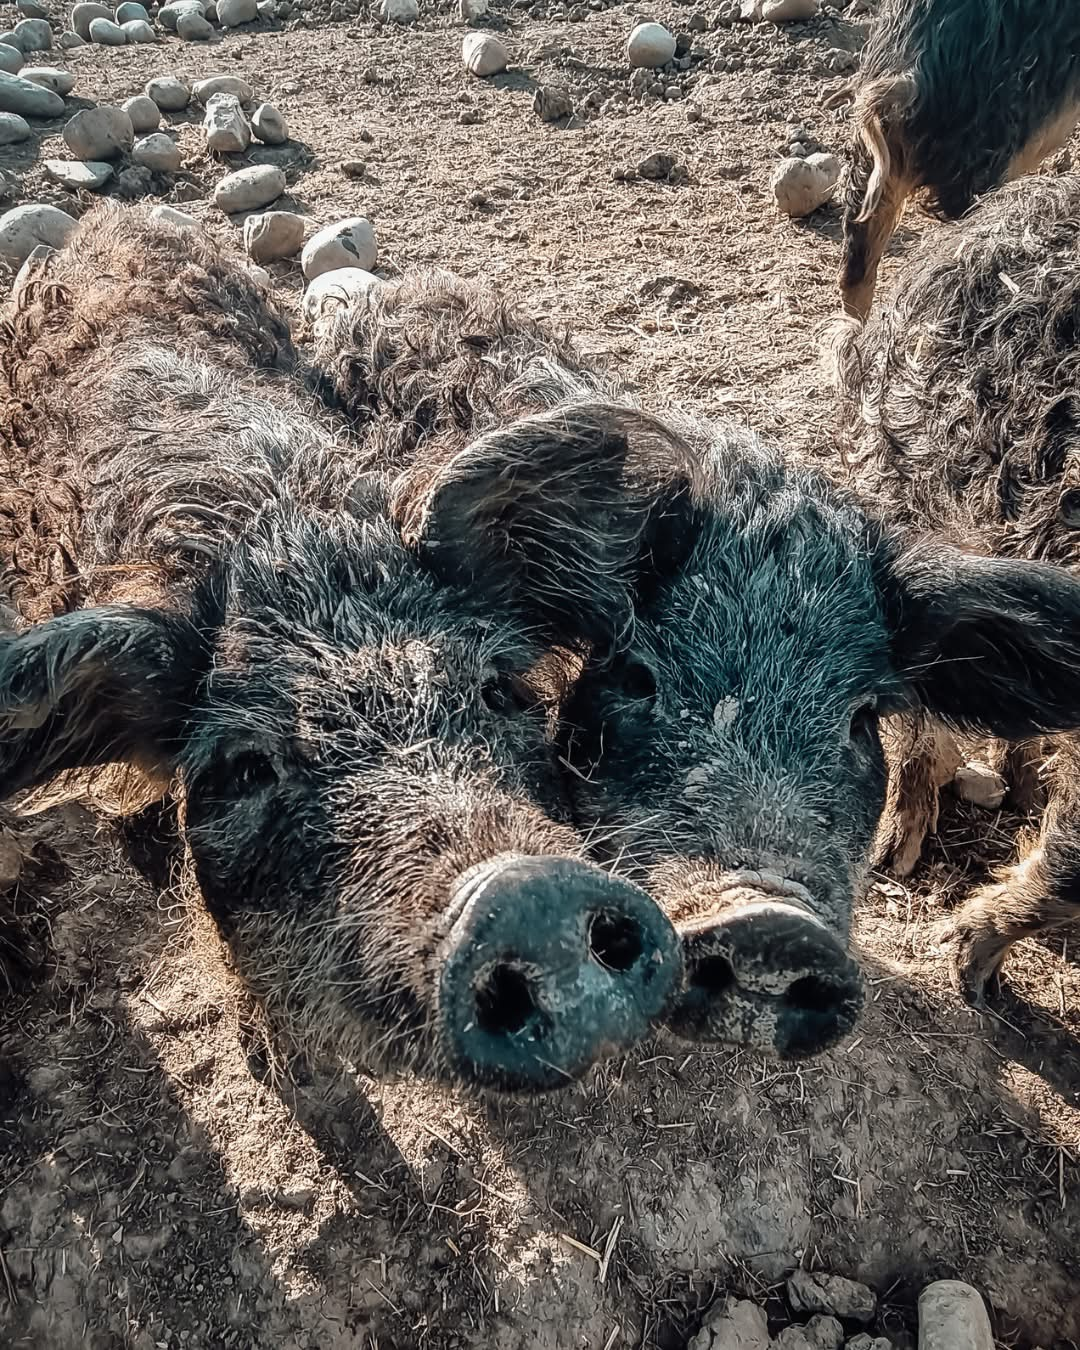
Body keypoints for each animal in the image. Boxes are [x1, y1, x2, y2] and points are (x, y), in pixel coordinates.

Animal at [0, 204, 686, 1093]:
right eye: (246, 768)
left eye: (497, 689)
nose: (531, 895)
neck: (276, 524)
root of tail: (105, 221)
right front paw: (274, 1067)